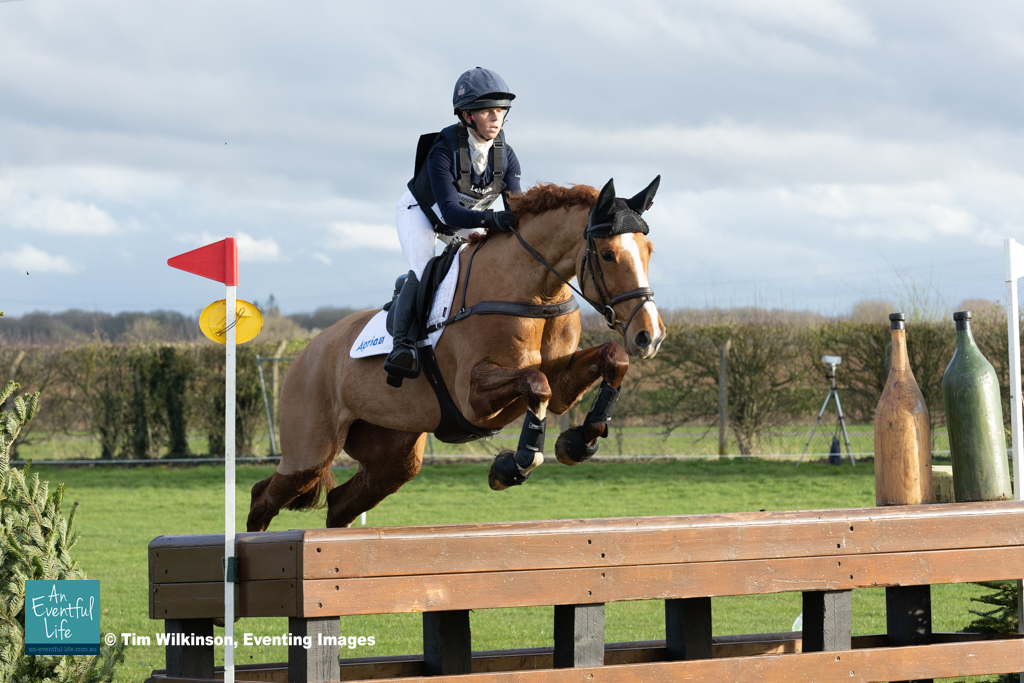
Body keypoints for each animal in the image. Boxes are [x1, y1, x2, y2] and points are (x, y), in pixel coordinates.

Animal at [247, 177, 666, 531]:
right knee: (263, 498)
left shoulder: (563, 383)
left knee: (338, 504)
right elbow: (535, 383)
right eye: (608, 255)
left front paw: (579, 441)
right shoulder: (473, 397)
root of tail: (308, 352)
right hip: (309, 453)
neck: (536, 295)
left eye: (649, 251)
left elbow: (612, 358)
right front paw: (514, 465)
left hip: (393, 459)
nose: (650, 336)